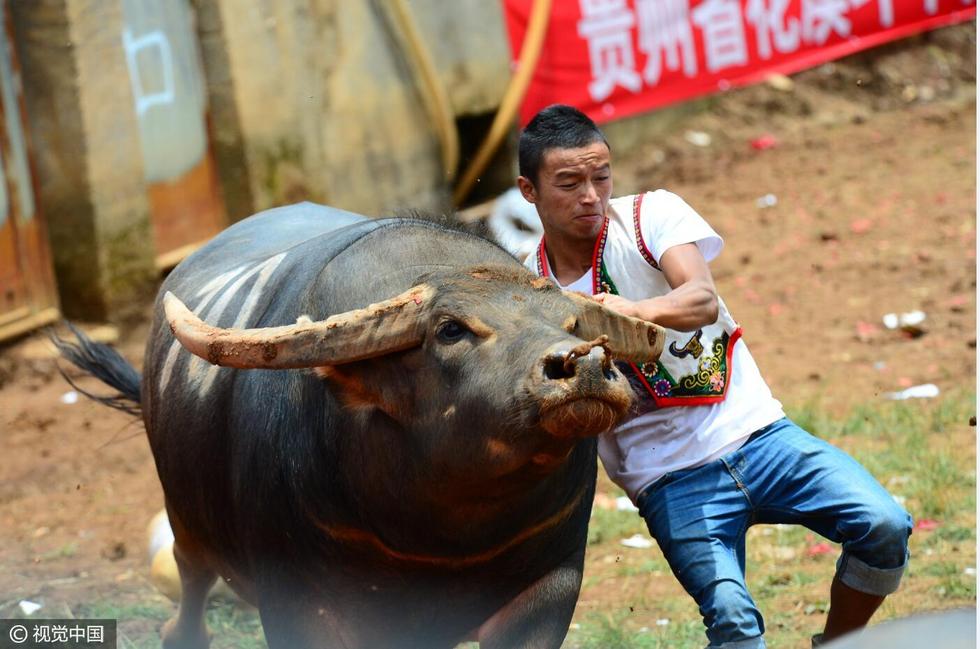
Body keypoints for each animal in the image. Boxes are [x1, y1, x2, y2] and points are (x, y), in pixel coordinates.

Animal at [57, 202, 664, 648]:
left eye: (572, 323)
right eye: (449, 329)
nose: (585, 364)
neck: (445, 535)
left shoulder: (549, 586)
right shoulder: (298, 601)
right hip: (186, 523)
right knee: (190, 591)